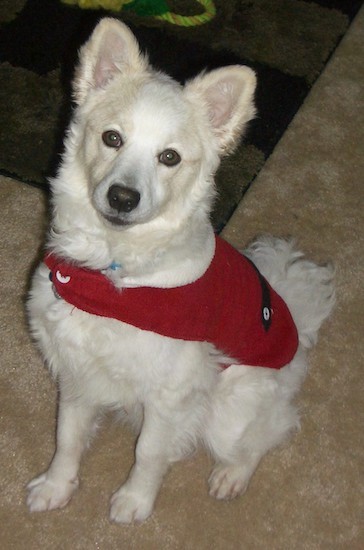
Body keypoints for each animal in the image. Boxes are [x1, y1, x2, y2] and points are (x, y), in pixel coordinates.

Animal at [27, 18, 336, 528]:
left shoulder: (170, 393)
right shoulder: (75, 371)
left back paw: (231, 474)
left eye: (169, 157)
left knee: (268, 433)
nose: (122, 197)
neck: (113, 276)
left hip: (229, 411)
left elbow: (149, 453)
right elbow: (66, 437)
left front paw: (135, 501)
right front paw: (57, 487)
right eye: (112, 138)